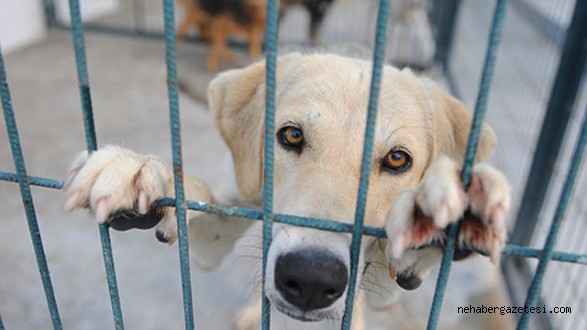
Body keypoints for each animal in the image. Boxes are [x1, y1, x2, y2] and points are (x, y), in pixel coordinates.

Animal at [63, 52, 510, 328]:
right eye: (291, 135)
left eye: (398, 159)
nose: (311, 278)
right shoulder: (226, 224)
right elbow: (196, 194)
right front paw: (141, 169)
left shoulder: (385, 283)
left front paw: (443, 214)